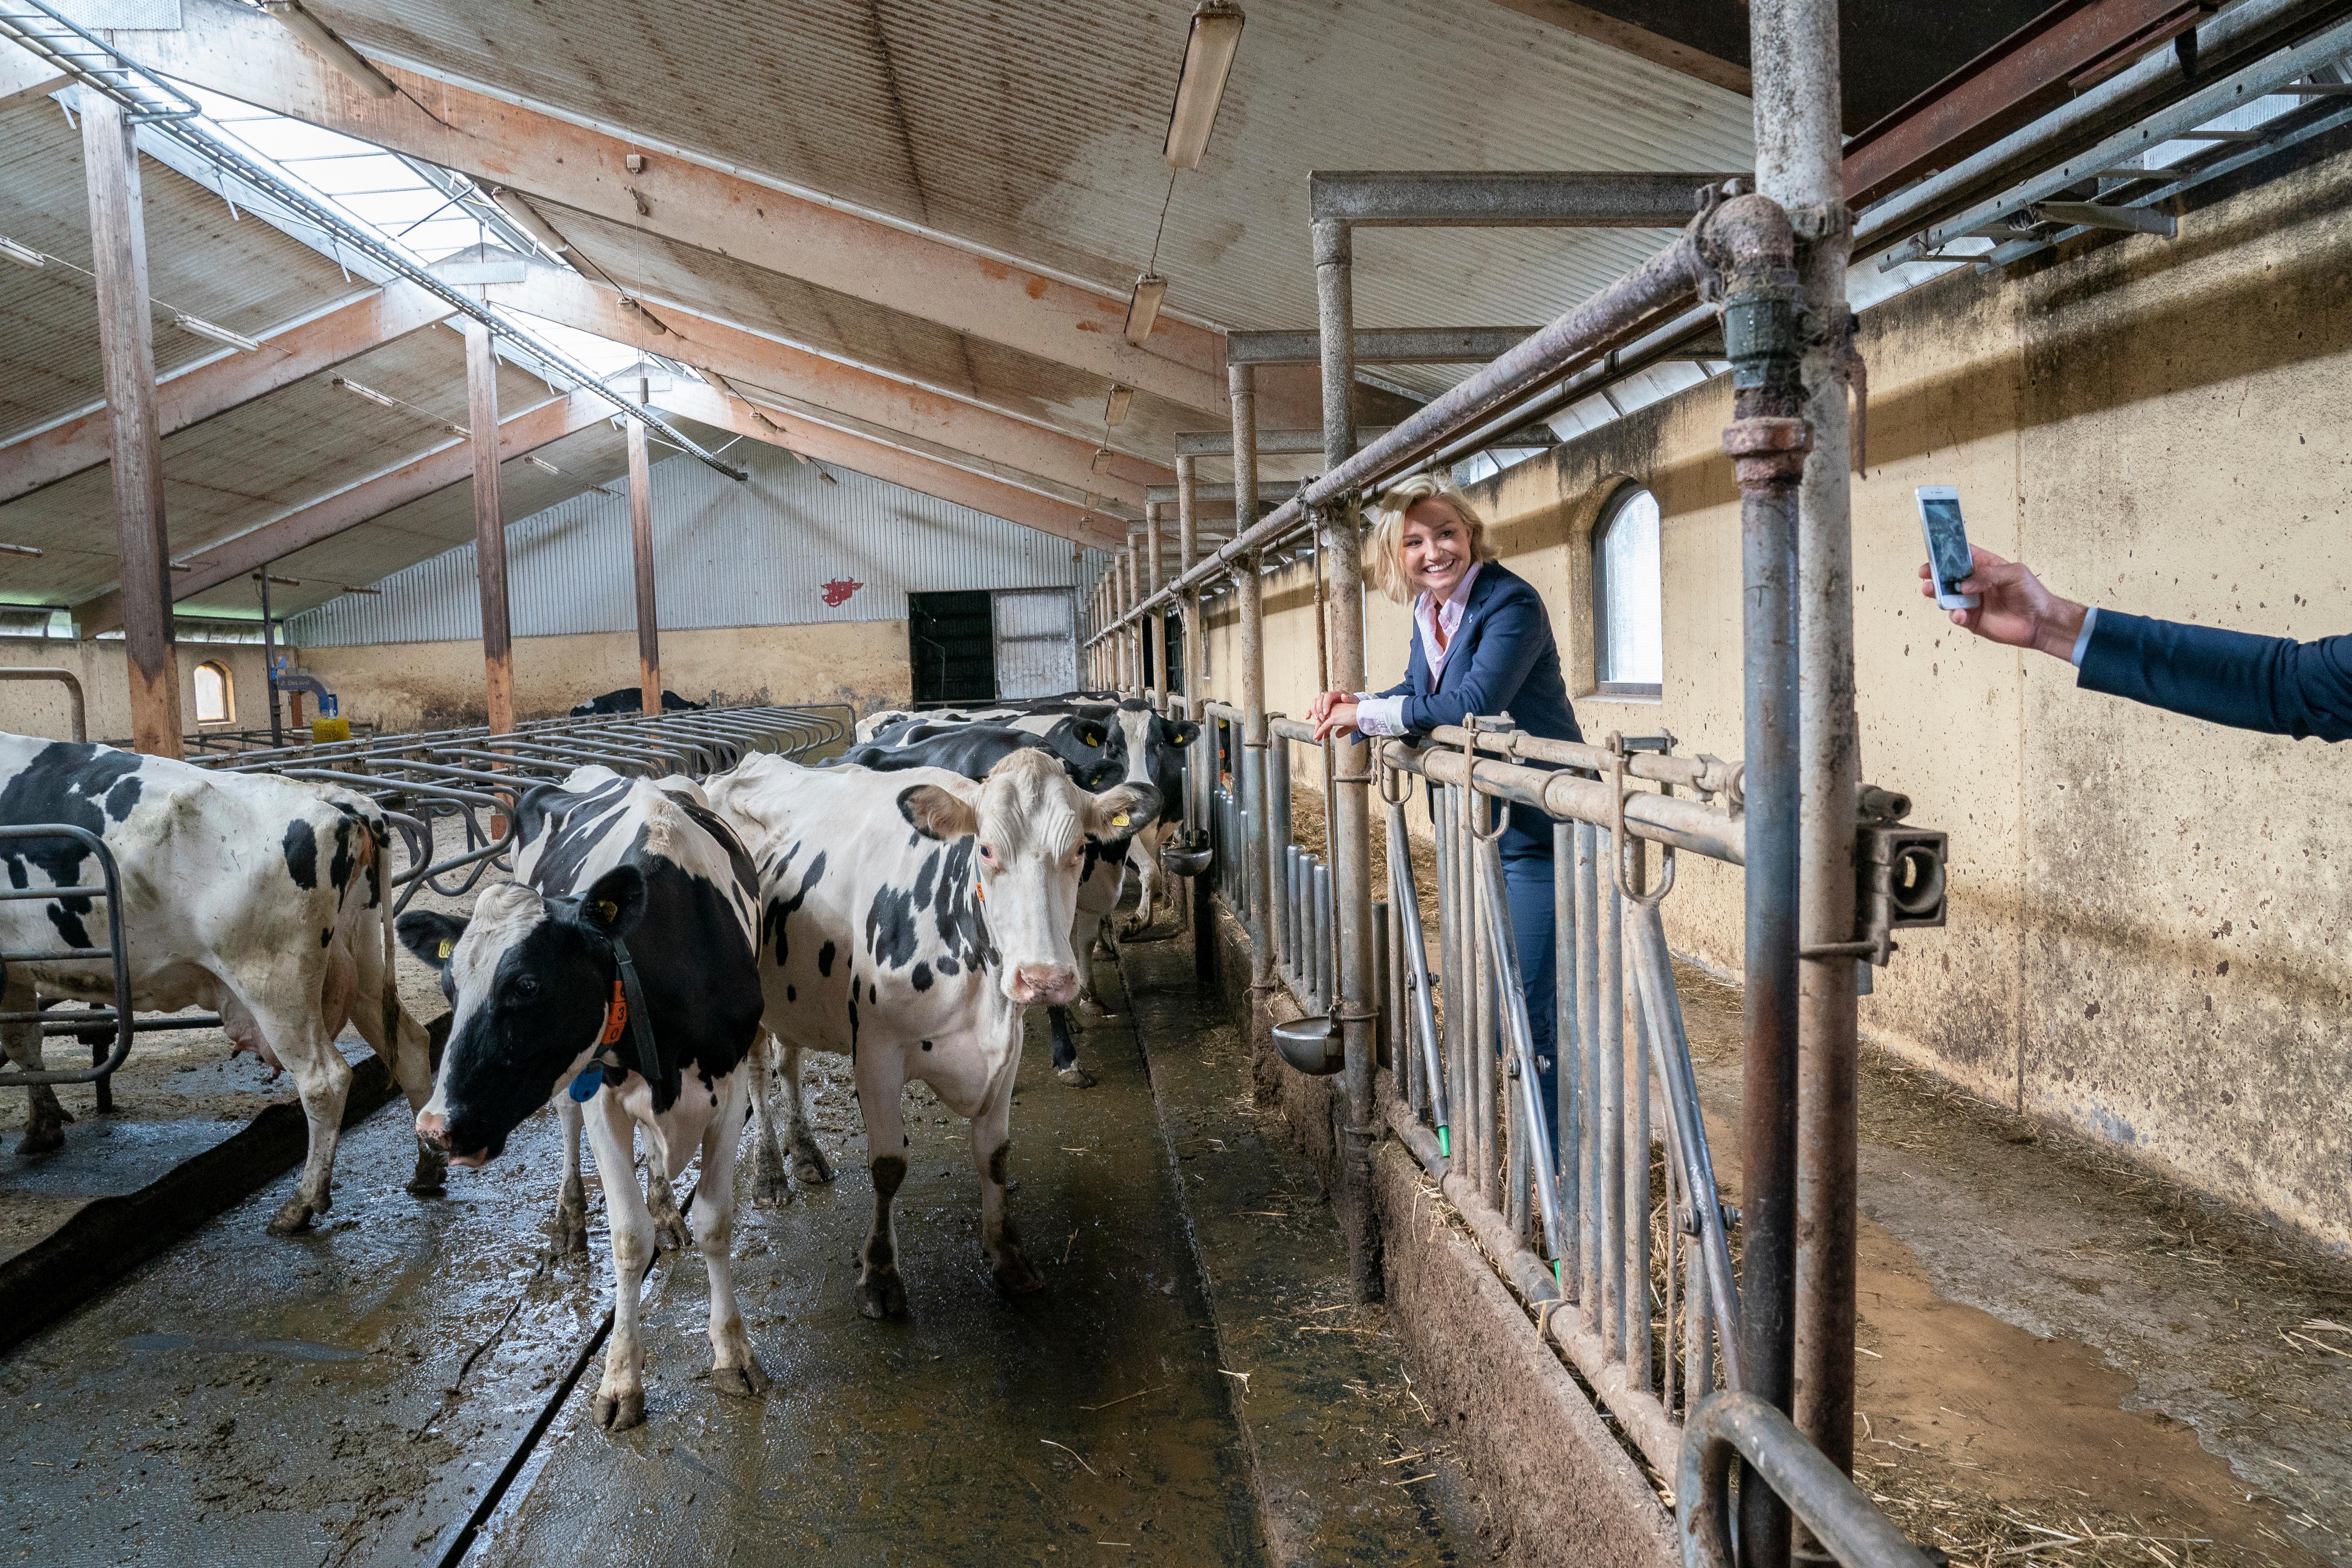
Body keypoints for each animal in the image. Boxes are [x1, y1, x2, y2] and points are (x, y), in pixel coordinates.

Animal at [400, 761, 766, 1439]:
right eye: (448, 986)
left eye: (526, 984)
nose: (435, 1128)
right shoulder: (603, 1095)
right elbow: (627, 1238)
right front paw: (620, 1379)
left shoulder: (727, 1090)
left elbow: (715, 1221)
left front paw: (732, 1351)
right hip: (574, 1085)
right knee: (568, 1126)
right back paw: (570, 1218)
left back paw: (665, 1207)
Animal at [710, 752, 1162, 1316]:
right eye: (985, 848)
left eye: (1080, 847)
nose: (1043, 979)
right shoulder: (876, 1054)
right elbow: (887, 1165)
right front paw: (880, 1276)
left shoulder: (1006, 1050)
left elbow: (994, 1156)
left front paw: (1008, 1257)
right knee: (757, 1074)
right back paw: (771, 1173)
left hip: (794, 995)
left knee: (789, 1061)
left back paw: (807, 1153)